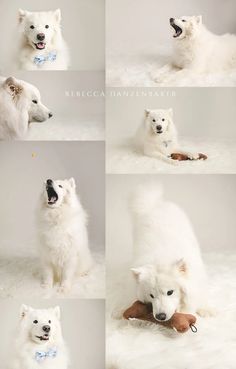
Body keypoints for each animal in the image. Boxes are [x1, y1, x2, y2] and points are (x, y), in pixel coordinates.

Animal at [130, 184, 213, 320]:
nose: (160, 316)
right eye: (151, 295)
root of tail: (155, 204)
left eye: (170, 292)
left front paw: (206, 309)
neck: (161, 258)